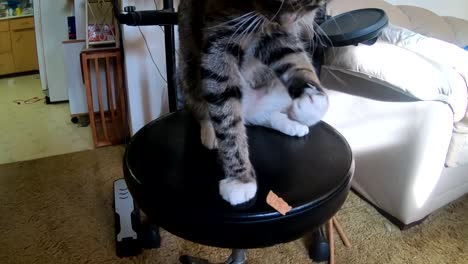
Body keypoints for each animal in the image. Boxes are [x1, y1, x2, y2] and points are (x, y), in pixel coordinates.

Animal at [177, 0, 328, 206]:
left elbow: (292, 55)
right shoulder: (221, 33)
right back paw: (210, 132)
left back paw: (293, 124)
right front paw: (240, 179)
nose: (284, 23)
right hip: (189, 76)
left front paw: (313, 101)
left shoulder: (274, 33)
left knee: (264, 117)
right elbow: (226, 112)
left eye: (312, 6)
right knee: (204, 110)